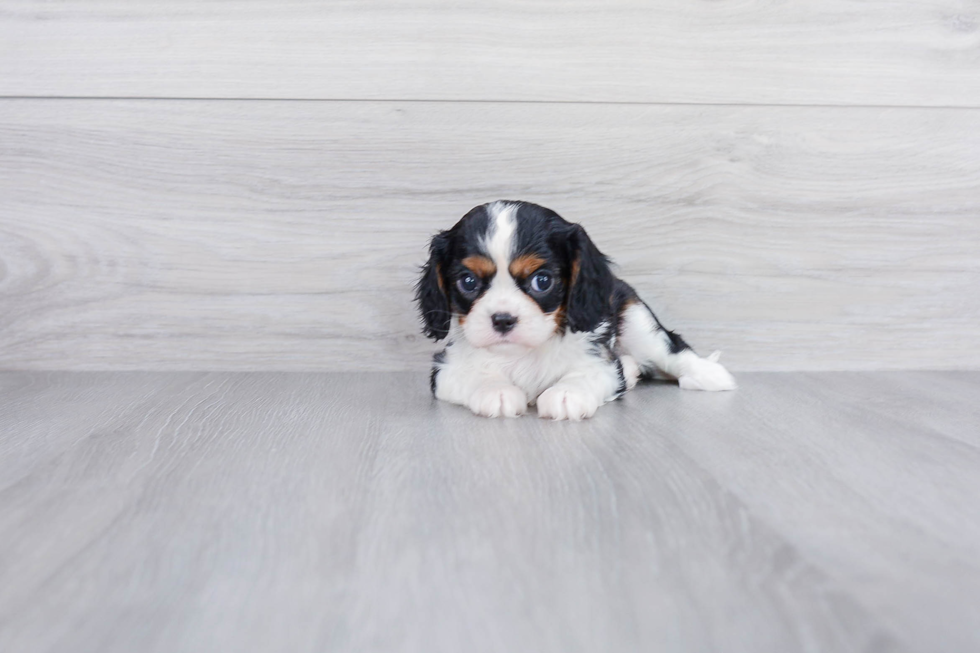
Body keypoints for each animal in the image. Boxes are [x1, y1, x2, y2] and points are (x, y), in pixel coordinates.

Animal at [414, 201, 736, 420]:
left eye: (542, 281)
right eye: (468, 282)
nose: (503, 320)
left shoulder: (602, 365)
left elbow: (586, 374)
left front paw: (566, 393)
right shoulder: (444, 370)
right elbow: (475, 375)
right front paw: (496, 390)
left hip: (636, 320)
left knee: (672, 348)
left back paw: (708, 374)